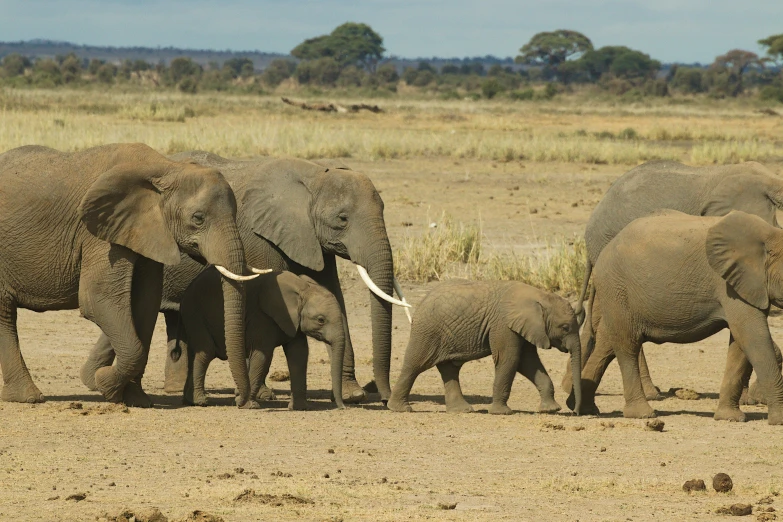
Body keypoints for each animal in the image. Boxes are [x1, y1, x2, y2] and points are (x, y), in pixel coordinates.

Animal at [0, 142, 262, 406]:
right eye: (198, 218)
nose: (242, 402)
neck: (166, 168)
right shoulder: (99, 232)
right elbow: (98, 298)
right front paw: (105, 384)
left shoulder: (146, 231)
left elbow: (145, 304)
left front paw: (137, 400)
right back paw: (30, 398)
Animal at [182, 268, 348, 410]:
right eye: (321, 320)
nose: (342, 407)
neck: (303, 289)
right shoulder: (262, 317)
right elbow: (262, 355)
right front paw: (249, 406)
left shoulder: (293, 321)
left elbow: (299, 354)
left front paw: (300, 408)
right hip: (195, 312)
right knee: (206, 352)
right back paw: (200, 401)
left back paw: (190, 400)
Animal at [390, 280, 580, 414]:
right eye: (565, 328)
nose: (575, 411)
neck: (539, 296)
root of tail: (421, 302)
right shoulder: (503, 325)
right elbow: (509, 359)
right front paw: (501, 413)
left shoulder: (523, 327)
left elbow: (528, 363)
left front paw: (551, 409)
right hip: (427, 331)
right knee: (414, 365)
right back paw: (400, 409)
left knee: (449, 369)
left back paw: (462, 411)